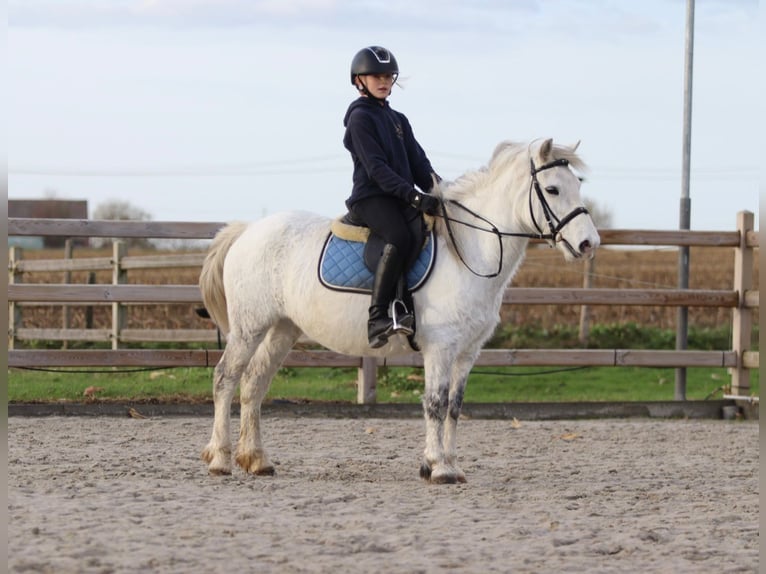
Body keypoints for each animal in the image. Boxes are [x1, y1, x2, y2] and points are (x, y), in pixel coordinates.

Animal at [201, 140, 604, 486]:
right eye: (552, 189)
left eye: (577, 185)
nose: (589, 244)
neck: (469, 251)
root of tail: (248, 230)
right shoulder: (440, 347)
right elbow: (435, 403)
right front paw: (439, 468)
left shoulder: (467, 351)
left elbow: (454, 406)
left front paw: (448, 463)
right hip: (250, 327)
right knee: (225, 378)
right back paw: (220, 459)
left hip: (281, 329)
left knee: (254, 384)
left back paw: (257, 460)